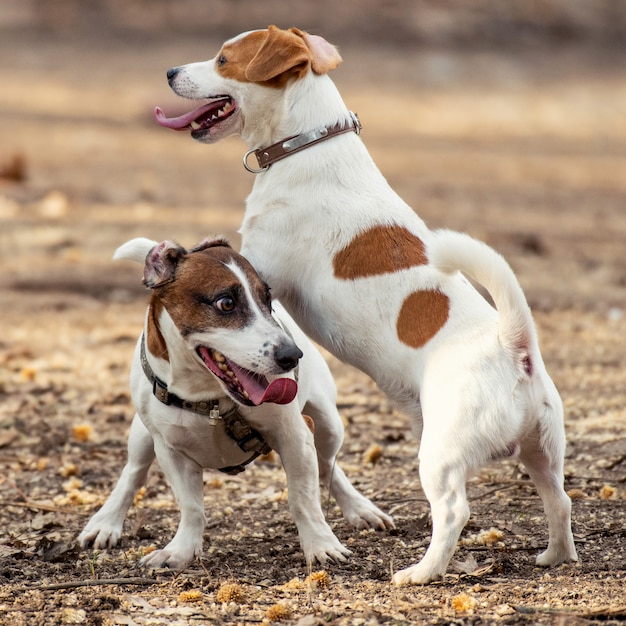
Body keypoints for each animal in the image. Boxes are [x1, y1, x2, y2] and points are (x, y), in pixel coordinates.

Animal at [78, 236, 390, 568]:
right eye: (226, 303)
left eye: (268, 299)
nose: (292, 356)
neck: (209, 398)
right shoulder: (172, 452)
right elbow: (191, 508)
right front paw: (180, 551)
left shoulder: (295, 437)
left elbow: (303, 499)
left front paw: (321, 545)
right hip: (141, 435)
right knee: (133, 472)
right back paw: (106, 521)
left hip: (328, 424)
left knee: (328, 463)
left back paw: (359, 508)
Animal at [152, 24, 576, 580]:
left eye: (223, 59)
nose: (170, 71)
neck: (306, 146)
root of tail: (514, 347)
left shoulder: (262, 271)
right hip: (542, 451)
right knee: (559, 499)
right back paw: (556, 554)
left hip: (440, 455)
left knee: (454, 511)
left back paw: (421, 572)